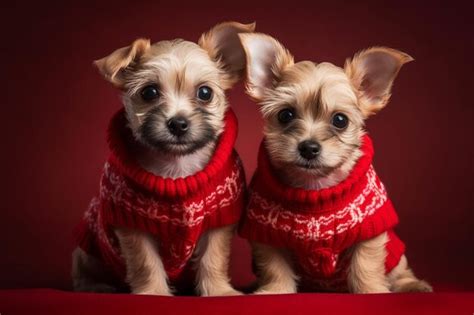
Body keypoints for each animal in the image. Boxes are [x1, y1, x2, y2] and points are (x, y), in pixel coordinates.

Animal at [71, 22, 256, 296]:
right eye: (149, 92)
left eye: (205, 93)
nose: (178, 123)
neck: (176, 166)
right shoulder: (133, 225)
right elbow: (145, 262)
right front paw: (154, 293)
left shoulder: (219, 222)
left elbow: (213, 258)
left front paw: (219, 291)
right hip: (88, 250)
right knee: (84, 273)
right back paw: (97, 287)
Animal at [239, 33, 432, 296]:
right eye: (285, 115)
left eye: (340, 120)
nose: (309, 148)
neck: (314, 189)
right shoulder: (265, 234)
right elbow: (274, 266)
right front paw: (276, 291)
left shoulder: (369, 231)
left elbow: (366, 264)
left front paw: (372, 291)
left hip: (396, 254)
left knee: (399, 272)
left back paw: (412, 285)